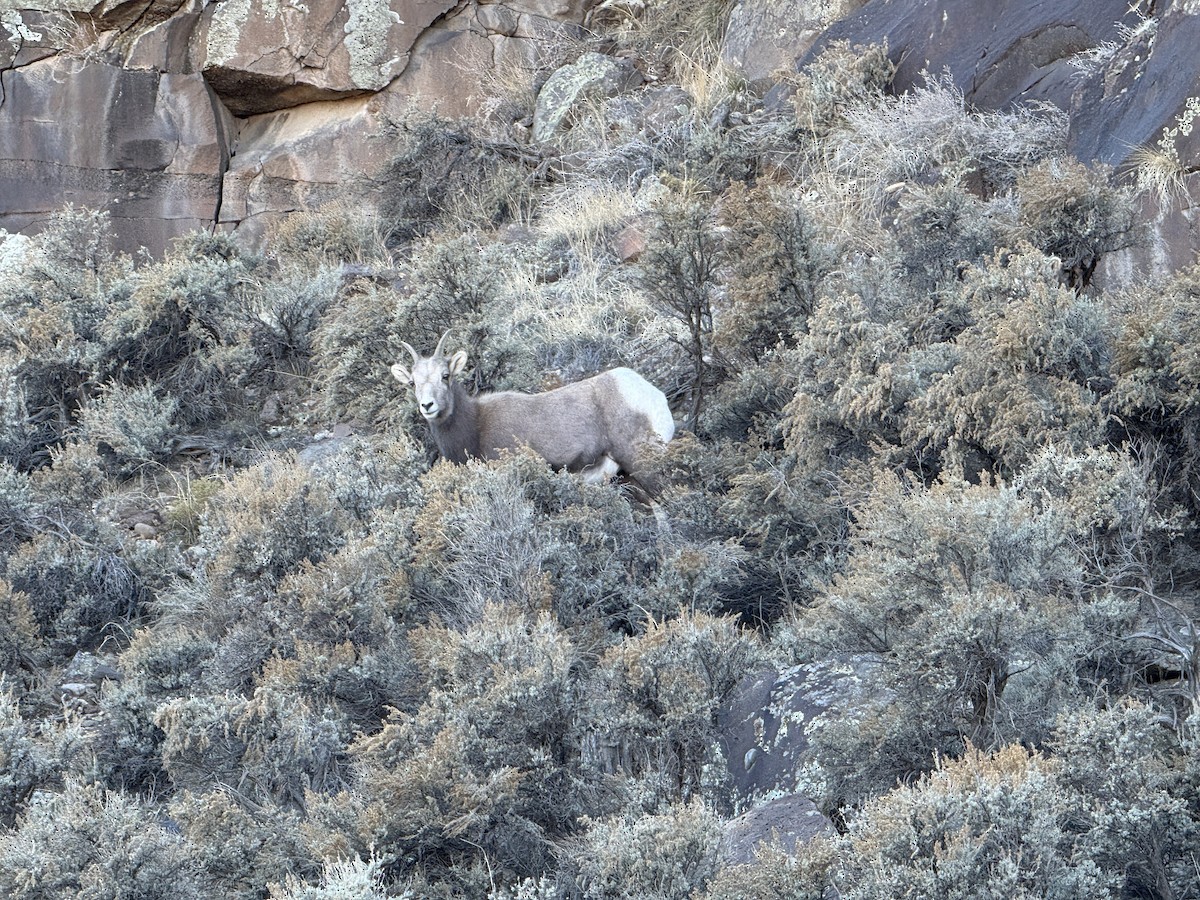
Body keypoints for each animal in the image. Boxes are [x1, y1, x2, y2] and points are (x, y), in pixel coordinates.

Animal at [390, 332, 675, 493]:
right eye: (412, 383)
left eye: (445, 376)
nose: (428, 406)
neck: (476, 427)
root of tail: (653, 395)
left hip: (642, 463)